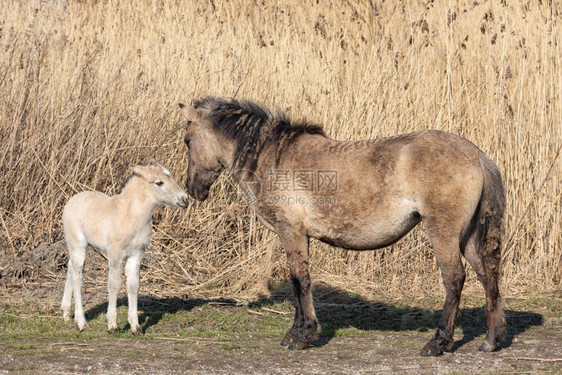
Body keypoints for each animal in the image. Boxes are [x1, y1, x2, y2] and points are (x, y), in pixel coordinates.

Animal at [177, 96, 506, 356]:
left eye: (188, 141)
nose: (193, 190)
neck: (273, 157)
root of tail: (478, 155)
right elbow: (301, 281)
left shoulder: (291, 232)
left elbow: (300, 281)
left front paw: (301, 335)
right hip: (468, 235)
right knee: (486, 273)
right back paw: (492, 340)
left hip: (443, 233)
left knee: (455, 279)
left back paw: (438, 343)